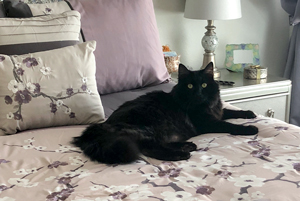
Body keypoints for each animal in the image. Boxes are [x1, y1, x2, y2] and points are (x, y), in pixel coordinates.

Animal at [72, 62, 258, 163]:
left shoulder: (217, 112)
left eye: (204, 85)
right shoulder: (208, 122)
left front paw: (249, 113)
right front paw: (250, 128)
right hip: (149, 127)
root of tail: (102, 126)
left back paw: (188, 146)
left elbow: (230, 112)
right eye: (190, 86)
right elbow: (229, 125)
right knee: (150, 149)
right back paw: (182, 154)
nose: (198, 93)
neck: (206, 105)